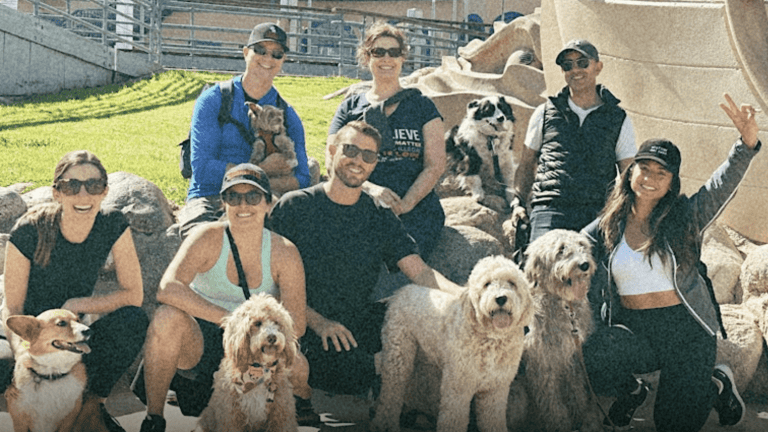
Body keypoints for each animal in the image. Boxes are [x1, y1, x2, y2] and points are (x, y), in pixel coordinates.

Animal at [194, 293, 299, 432]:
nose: (272, 337)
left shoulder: (282, 412)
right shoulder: (230, 414)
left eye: (277, 323)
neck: (260, 370)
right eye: (257, 323)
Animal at [371, 255, 534, 432]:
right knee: (391, 392)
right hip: (398, 356)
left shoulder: (495, 389)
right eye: (487, 284)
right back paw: (385, 423)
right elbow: (453, 419)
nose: (501, 298)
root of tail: (400, 292)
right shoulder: (458, 388)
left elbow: (493, 419)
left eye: (512, 283)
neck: (491, 338)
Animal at [506, 229, 602, 432]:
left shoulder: (571, 358)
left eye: (582, 245)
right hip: (517, 395)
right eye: (561, 250)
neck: (565, 307)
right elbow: (552, 402)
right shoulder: (543, 365)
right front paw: (560, 424)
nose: (584, 265)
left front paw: (581, 415)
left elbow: (576, 390)